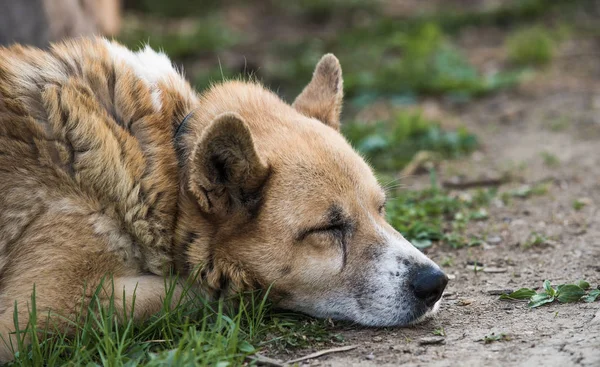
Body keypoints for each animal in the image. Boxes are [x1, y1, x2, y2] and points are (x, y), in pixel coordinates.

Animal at [0, 38, 448, 362]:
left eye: (381, 209)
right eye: (328, 227)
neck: (166, 169)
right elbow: (199, 293)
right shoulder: (34, 311)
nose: (436, 283)